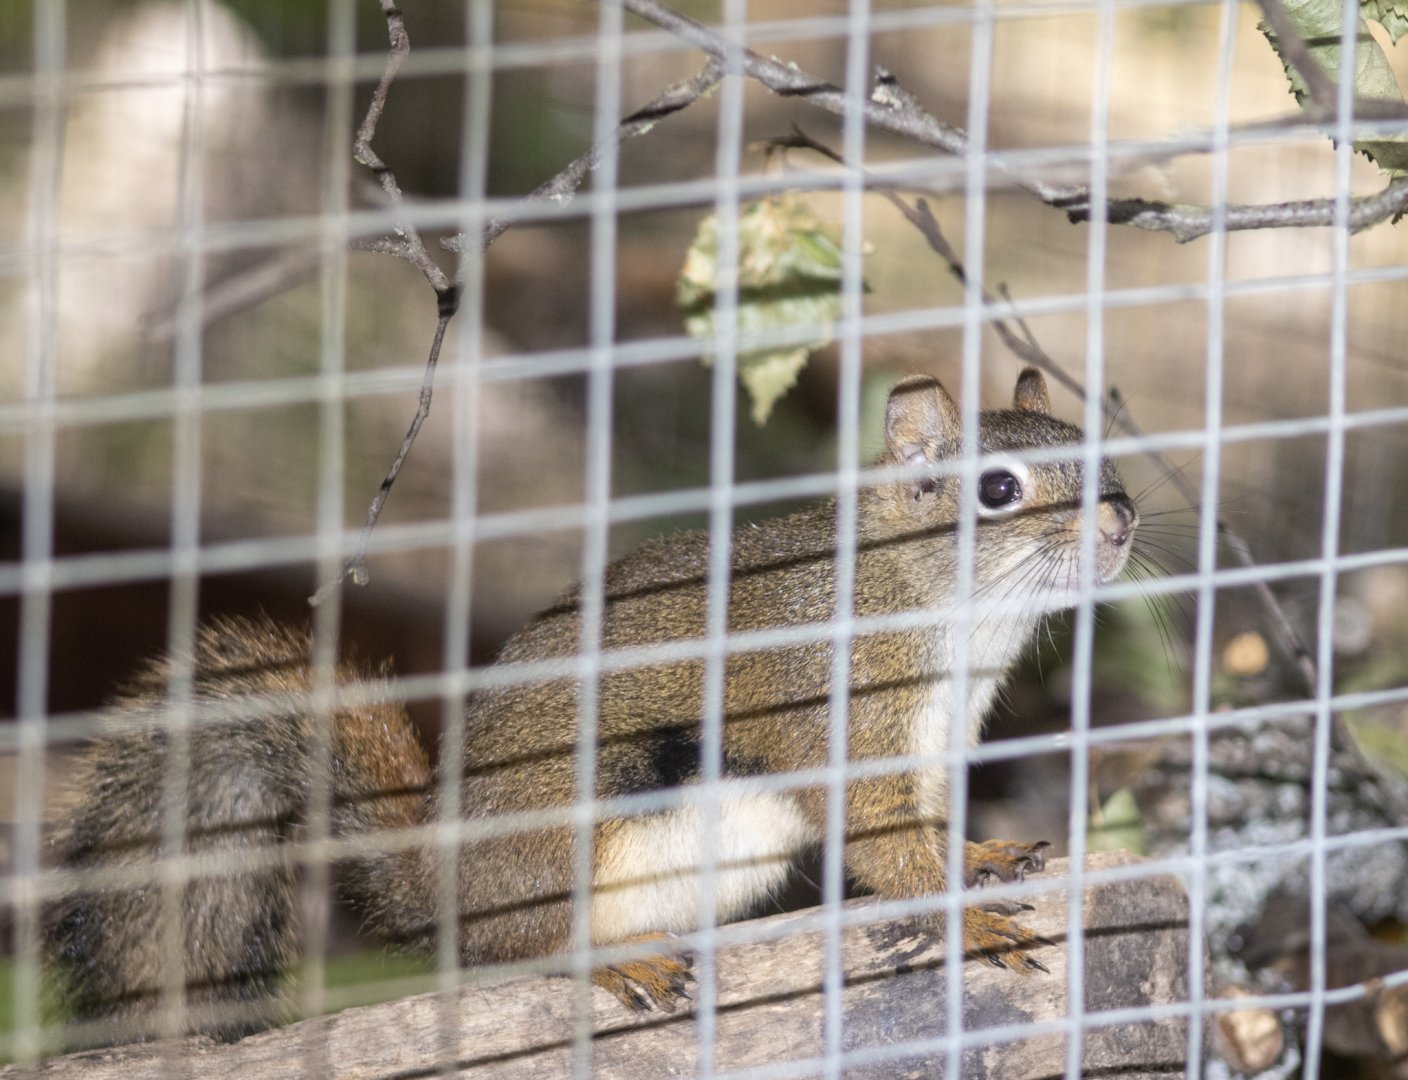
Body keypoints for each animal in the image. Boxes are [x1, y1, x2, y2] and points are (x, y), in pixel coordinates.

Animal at [45, 367, 1137, 1041]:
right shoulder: (836, 716)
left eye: (1098, 450)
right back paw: (609, 964)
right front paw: (967, 922)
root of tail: (433, 878)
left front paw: (985, 857)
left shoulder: (936, 745)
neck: (936, 614)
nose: (1123, 518)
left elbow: (931, 832)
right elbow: (882, 844)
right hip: (565, 829)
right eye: (997, 489)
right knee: (511, 950)